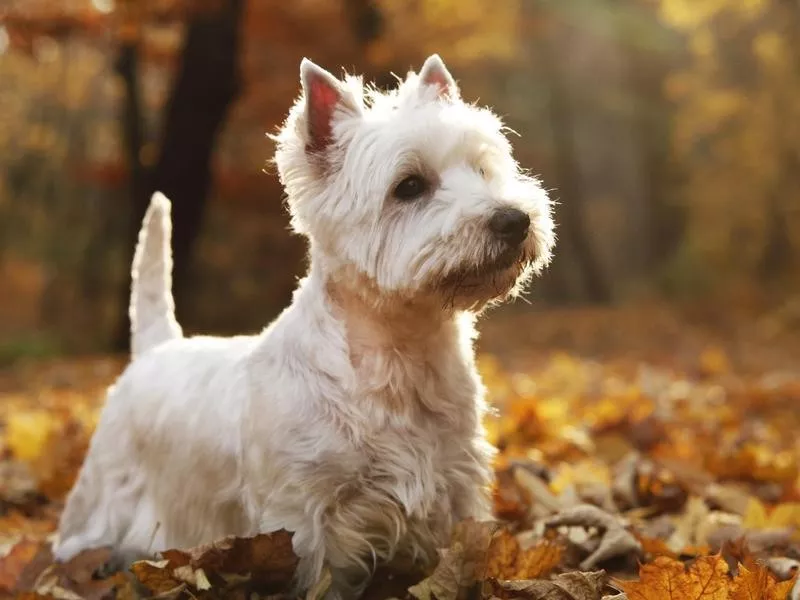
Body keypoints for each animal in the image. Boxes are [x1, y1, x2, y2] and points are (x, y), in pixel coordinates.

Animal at [56, 55, 552, 596]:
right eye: (409, 186)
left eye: (483, 169)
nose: (513, 220)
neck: (401, 355)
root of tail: (155, 348)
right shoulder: (303, 512)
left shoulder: (455, 484)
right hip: (106, 485)